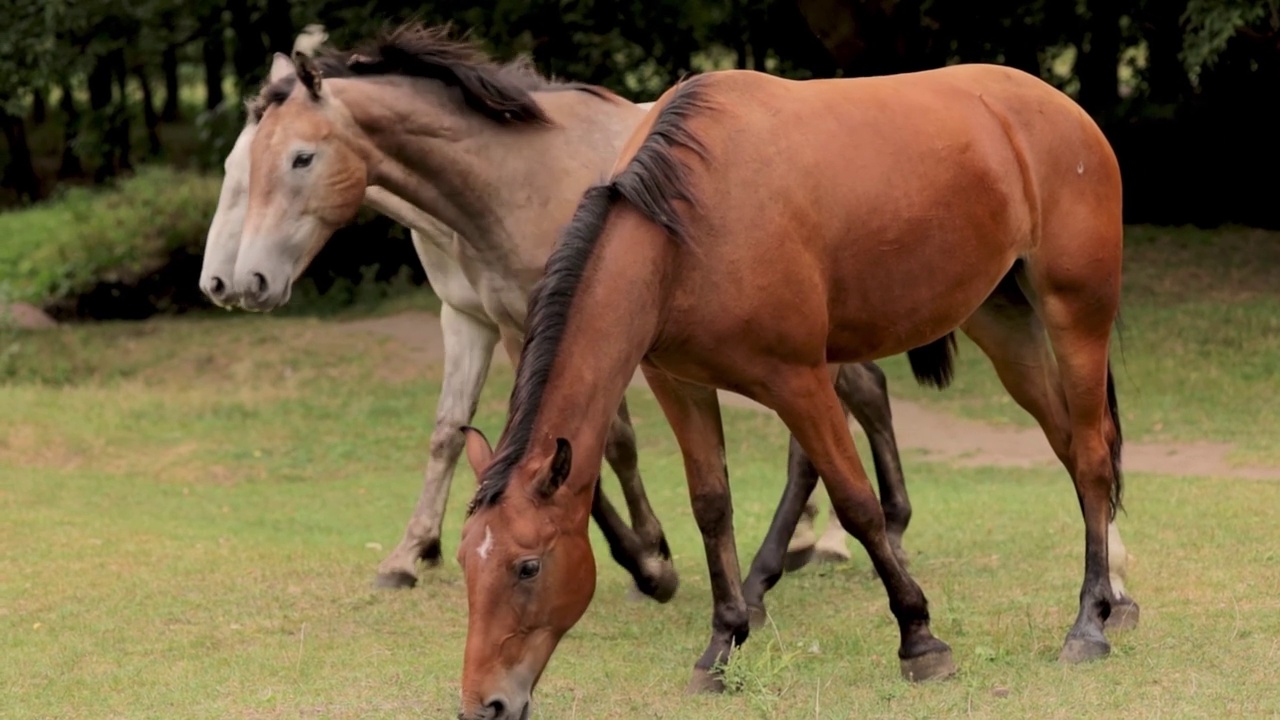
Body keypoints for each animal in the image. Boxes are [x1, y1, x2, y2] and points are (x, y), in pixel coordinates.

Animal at [450, 64, 1131, 712]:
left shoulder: (800, 381)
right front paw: (721, 647)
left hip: (1077, 312)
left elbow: (856, 503)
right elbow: (711, 506)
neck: (686, 226)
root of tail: (1062, 110)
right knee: (1069, 445)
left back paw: (1087, 625)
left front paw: (920, 639)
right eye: (464, 562)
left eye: (527, 567)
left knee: (1093, 456)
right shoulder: (679, 385)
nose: (488, 703)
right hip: (1004, 324)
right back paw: (1115, 598)